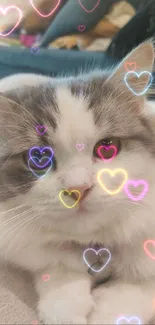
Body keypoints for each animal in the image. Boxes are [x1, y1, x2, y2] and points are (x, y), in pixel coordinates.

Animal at [0, 41, 155, 322]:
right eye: (39, 158)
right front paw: (65, 307)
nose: (78, 188)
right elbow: (59, 274)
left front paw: (103, 311)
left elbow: (130, 293)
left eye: (108, 147)